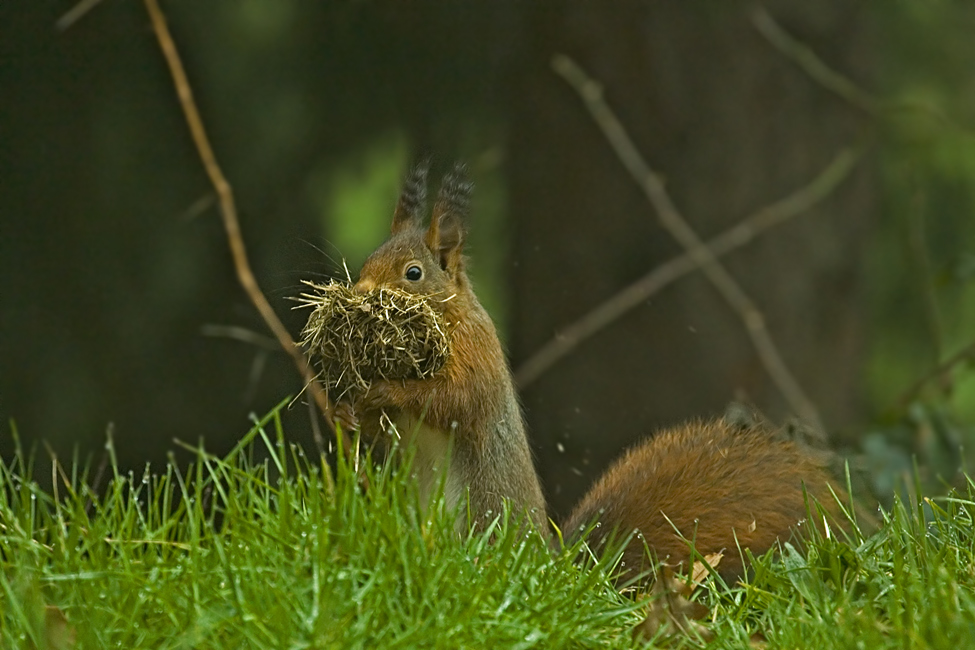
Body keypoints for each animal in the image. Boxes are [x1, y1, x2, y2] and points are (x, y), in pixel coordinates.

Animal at [334, 161, 848, 576]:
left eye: (413, 273)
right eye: (369, 259)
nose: (360, 294)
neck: (452, 315)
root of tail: (550, 567)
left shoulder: (477, 359)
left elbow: (451, 400)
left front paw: (385, 389)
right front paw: (348, 410)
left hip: (482, 518)